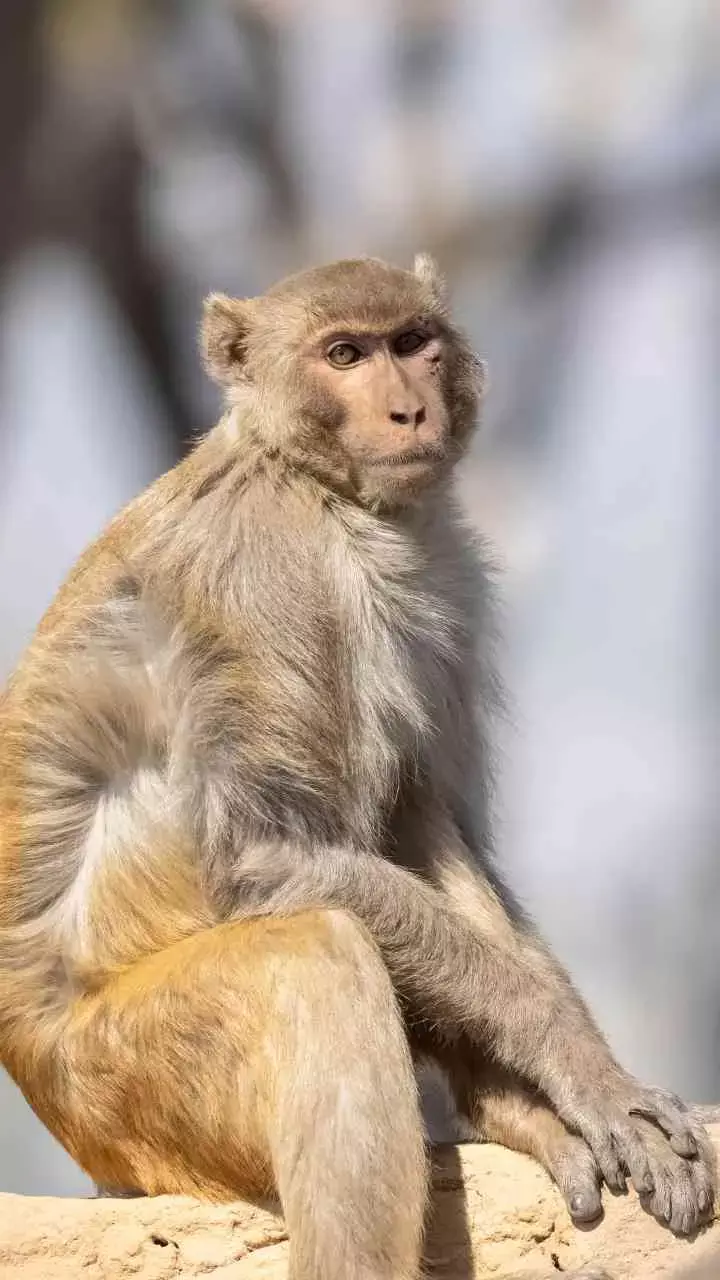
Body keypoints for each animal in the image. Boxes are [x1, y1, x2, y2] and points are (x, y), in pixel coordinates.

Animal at [0, 255, 714, 1280]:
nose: (410, 409)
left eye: (412, 341)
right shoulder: (266, 574)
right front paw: (571, 1057)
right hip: (117, 1089)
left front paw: (548, 1091)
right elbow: (268, 854)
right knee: (320, 958)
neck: (318, 486)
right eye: (344, 355)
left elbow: (422, 813)